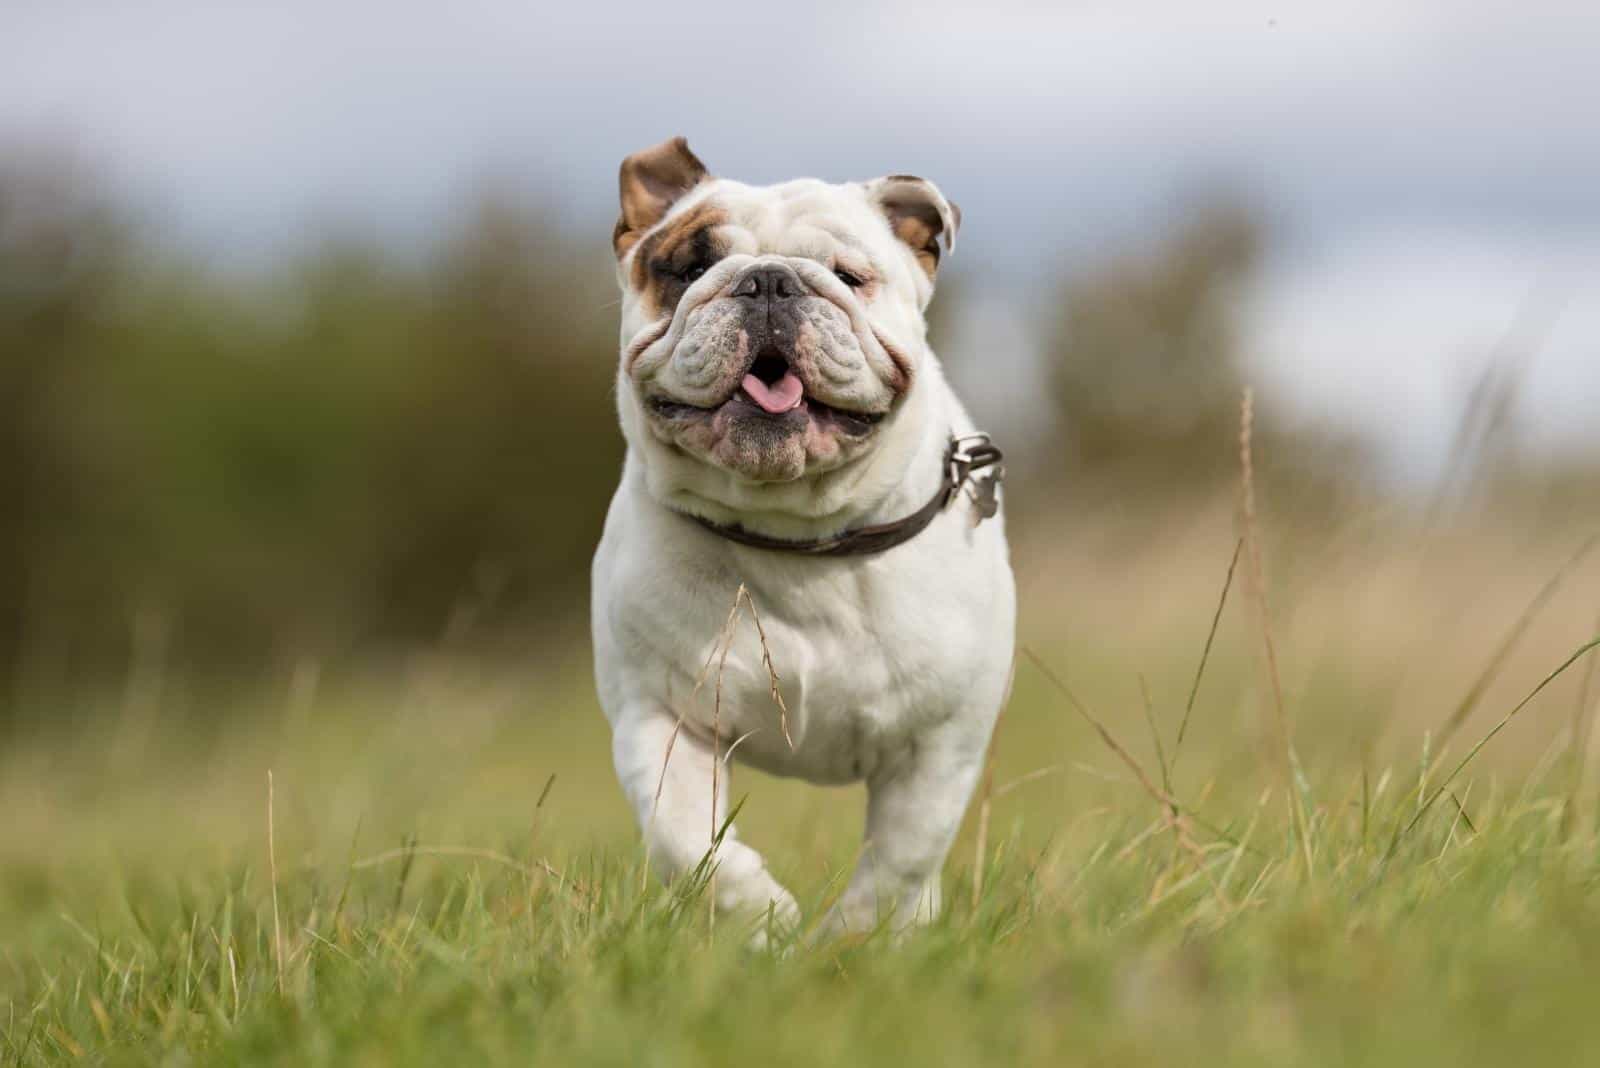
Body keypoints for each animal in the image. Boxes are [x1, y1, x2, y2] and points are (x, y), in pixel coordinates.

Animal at [595, 139, 1017, 933]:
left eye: (849, 277)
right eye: (688, 268)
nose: (768, 281)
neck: (798, 536)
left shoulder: (938, 744)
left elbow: (901, 861)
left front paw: (855, 937)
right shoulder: (659, 715)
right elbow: (685, 837)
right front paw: (762, 919)